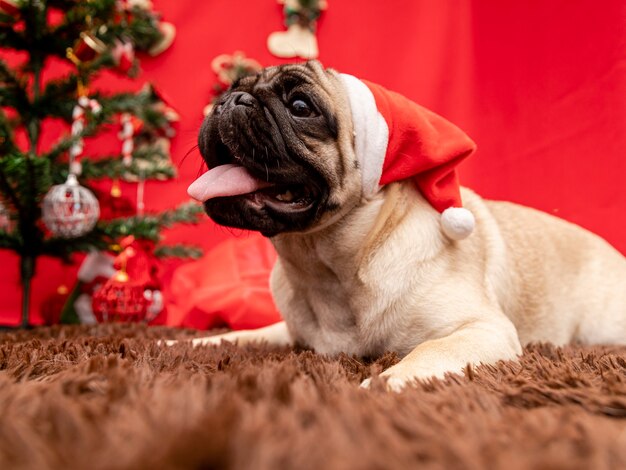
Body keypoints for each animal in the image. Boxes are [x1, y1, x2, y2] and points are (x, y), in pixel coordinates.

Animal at [178, 59, 624, 390]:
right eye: (229, 90)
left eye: (301, 107)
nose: (229, 101)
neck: (326, 267)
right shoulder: (286, 330)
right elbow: (238, 336)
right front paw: (186, 342)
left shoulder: (484, 329)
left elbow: (430, 351)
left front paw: (383, 383)